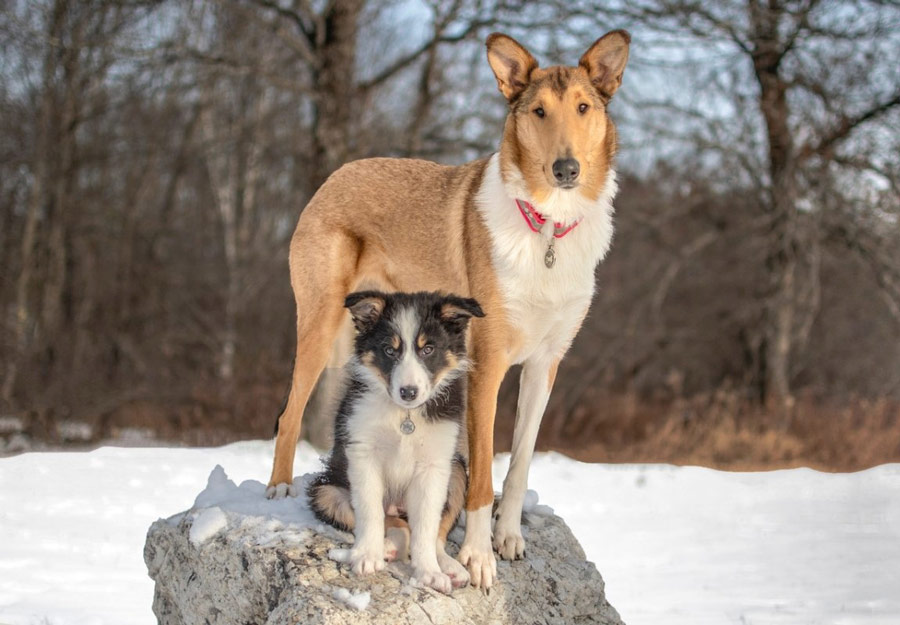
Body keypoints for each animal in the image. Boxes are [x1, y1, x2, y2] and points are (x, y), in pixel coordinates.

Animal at [308, 290, 486, 592]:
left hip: (458, 471)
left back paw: (448, 567)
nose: (408, 392)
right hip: (326, 491)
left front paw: (429, 572)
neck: (405, 415)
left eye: (428, 349)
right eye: (390, 350)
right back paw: (386, 547)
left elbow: (426, 526)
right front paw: (367, 557)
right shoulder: (362, 452)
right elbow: (370, 511)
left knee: (433, 530)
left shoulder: (434, 465)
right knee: (389, 521)